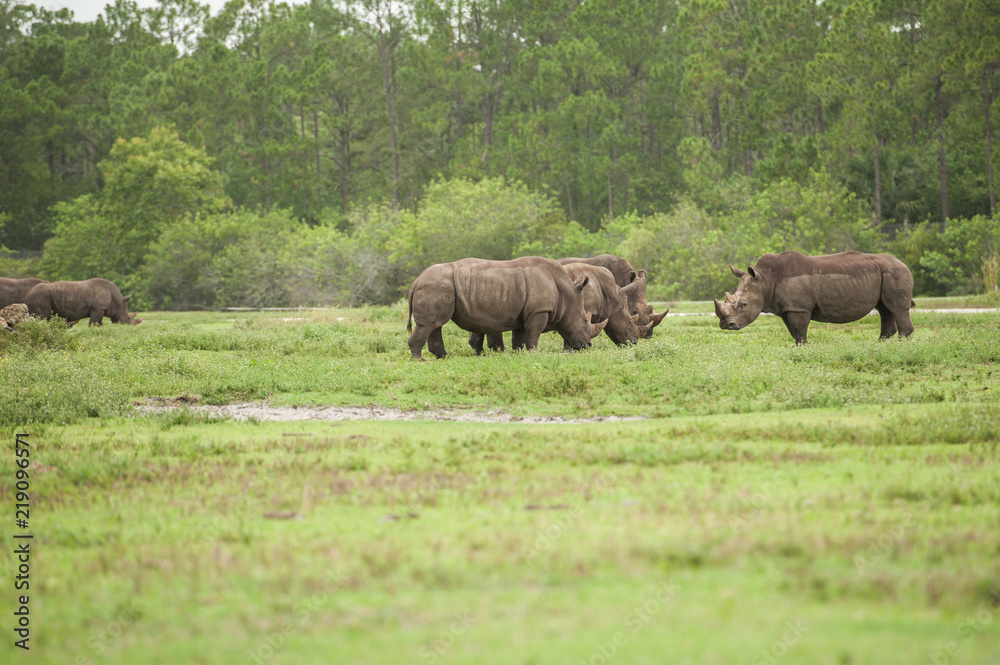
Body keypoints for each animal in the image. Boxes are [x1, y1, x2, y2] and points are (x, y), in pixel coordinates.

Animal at [404, 256, 604, 360]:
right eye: (584, 320)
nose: (588, 346)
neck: (566, 294)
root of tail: (416, 281)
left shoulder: (524, 314)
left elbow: (519, 338)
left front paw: (519, 354)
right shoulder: (539, 310)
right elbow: (533, 335)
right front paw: (533, 353)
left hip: (435, 285)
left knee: (435, 324)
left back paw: (443, 357)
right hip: (435, 286)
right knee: (429, 324)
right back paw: (419, 360)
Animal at [712, 248, 916, 344]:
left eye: (744, 305)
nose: (726, 325)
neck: (764, 280)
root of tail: (902, 262)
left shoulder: (799, 308)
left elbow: (800, 332)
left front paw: (801, 349)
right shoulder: (787, 308)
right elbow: (794, 332)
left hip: (895, 271)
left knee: (897, 308)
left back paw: (897, 347)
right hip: (884, 272)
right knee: (884, 309)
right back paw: (879, 345)